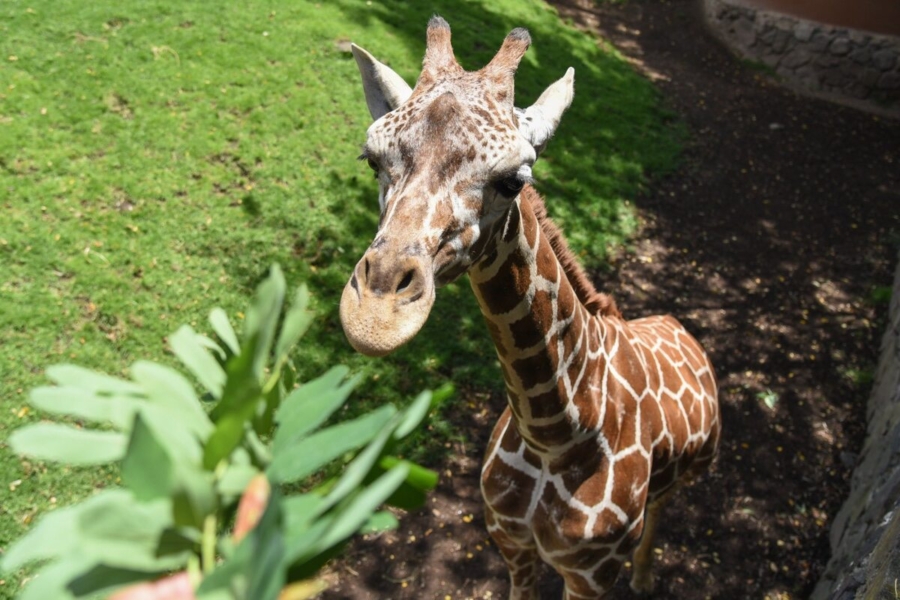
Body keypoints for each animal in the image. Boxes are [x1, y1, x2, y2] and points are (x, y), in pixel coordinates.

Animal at [339, 17, 721, 599]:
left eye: (513, 180)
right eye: (372, 160)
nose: (376, 318)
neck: (554, 436)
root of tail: (679, 326)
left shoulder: (590, 575)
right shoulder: (511, 543)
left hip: (695, 471)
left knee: (663, 506)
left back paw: (645, 575)